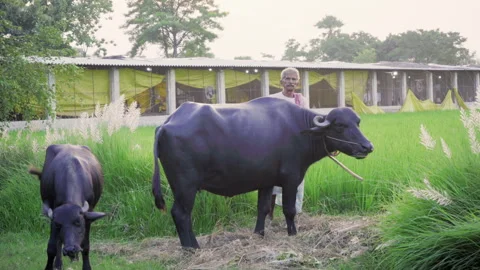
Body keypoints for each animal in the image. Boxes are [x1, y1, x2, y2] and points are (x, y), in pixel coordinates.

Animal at [152, 97, 374, 249]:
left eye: (358, 122)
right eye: (340, 125)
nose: (367, 146)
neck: (300, 128)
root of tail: (166, 124)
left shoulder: (266, 181)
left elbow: (263, 208)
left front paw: (259, 234)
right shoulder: (291, 179)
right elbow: (289, 210)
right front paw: (293, 234)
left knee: (184, 215)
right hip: (185, 186)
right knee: (180, 214)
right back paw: (192, 248)